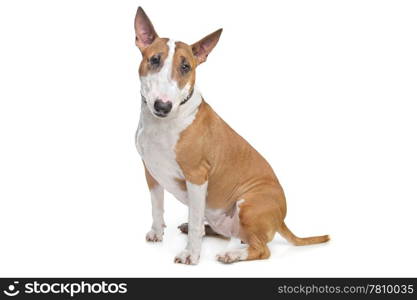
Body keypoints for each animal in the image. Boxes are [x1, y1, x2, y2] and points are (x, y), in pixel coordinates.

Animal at [133, 6, 328, 264]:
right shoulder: (151, 172)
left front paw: (190, 254)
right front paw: (156, 232)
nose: (162, 106)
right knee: (230, 233)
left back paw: (231, 254)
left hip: (249, 204)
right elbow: (157, 207)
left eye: (186, 67)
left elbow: (195, 220)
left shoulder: (197, 177)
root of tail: (281, 220)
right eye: (154, 59)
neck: (163, 124)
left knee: (261, 249)